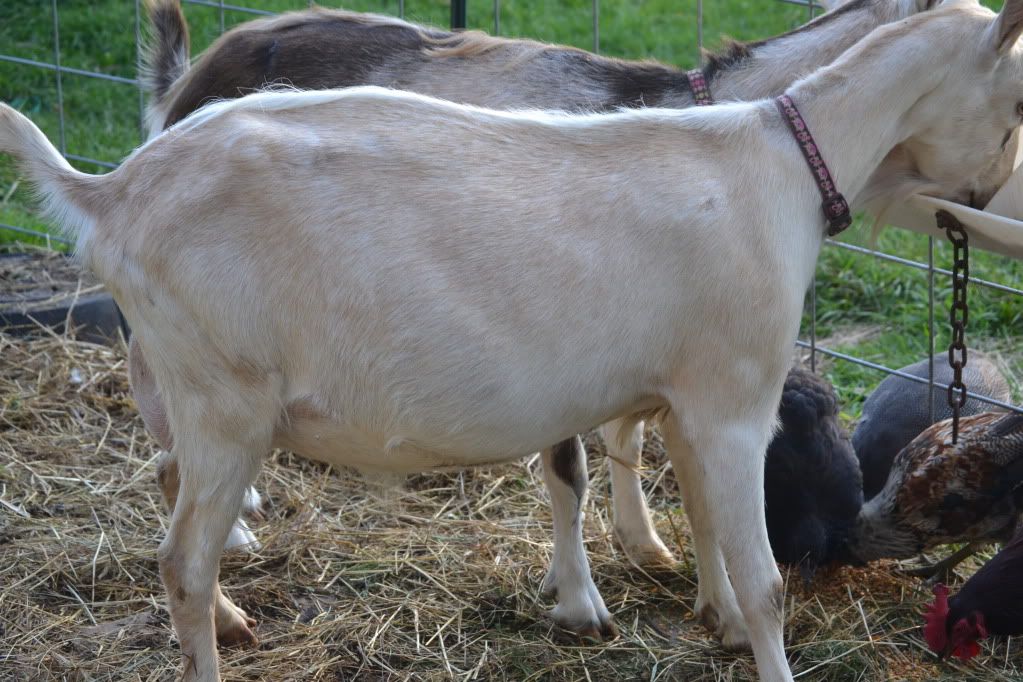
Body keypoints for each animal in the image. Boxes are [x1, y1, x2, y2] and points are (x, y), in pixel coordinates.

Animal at [4, 1, 1023, 679]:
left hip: (193, 385)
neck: (779, 161)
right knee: (180, 558)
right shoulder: (736, 396)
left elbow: (701, 520)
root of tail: (111, 192)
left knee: (175, 502)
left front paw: (715, 615)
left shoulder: (686, 391)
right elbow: (762, 575)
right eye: (1014, 101)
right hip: (222, 390)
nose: (981, 200)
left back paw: (231, 612)